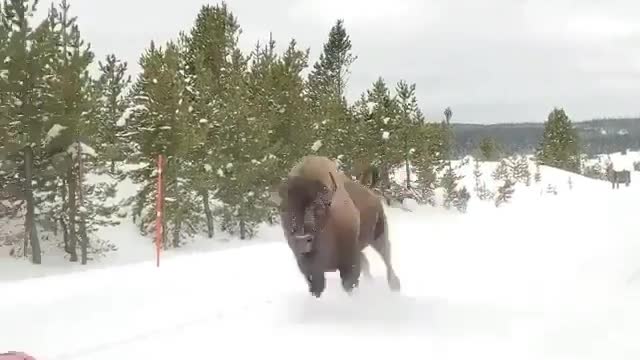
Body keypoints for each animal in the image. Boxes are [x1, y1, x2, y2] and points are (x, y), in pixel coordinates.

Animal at [272, 155, 402, 298]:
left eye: (319, 208)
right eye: (284, 210)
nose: (302, 239)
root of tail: (371, 193)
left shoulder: (349, 262)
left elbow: (349, 283)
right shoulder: (309, 268)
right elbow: (316, 287)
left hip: (379, 236)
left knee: (386, 258)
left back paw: (395, 286)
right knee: (368, 262)